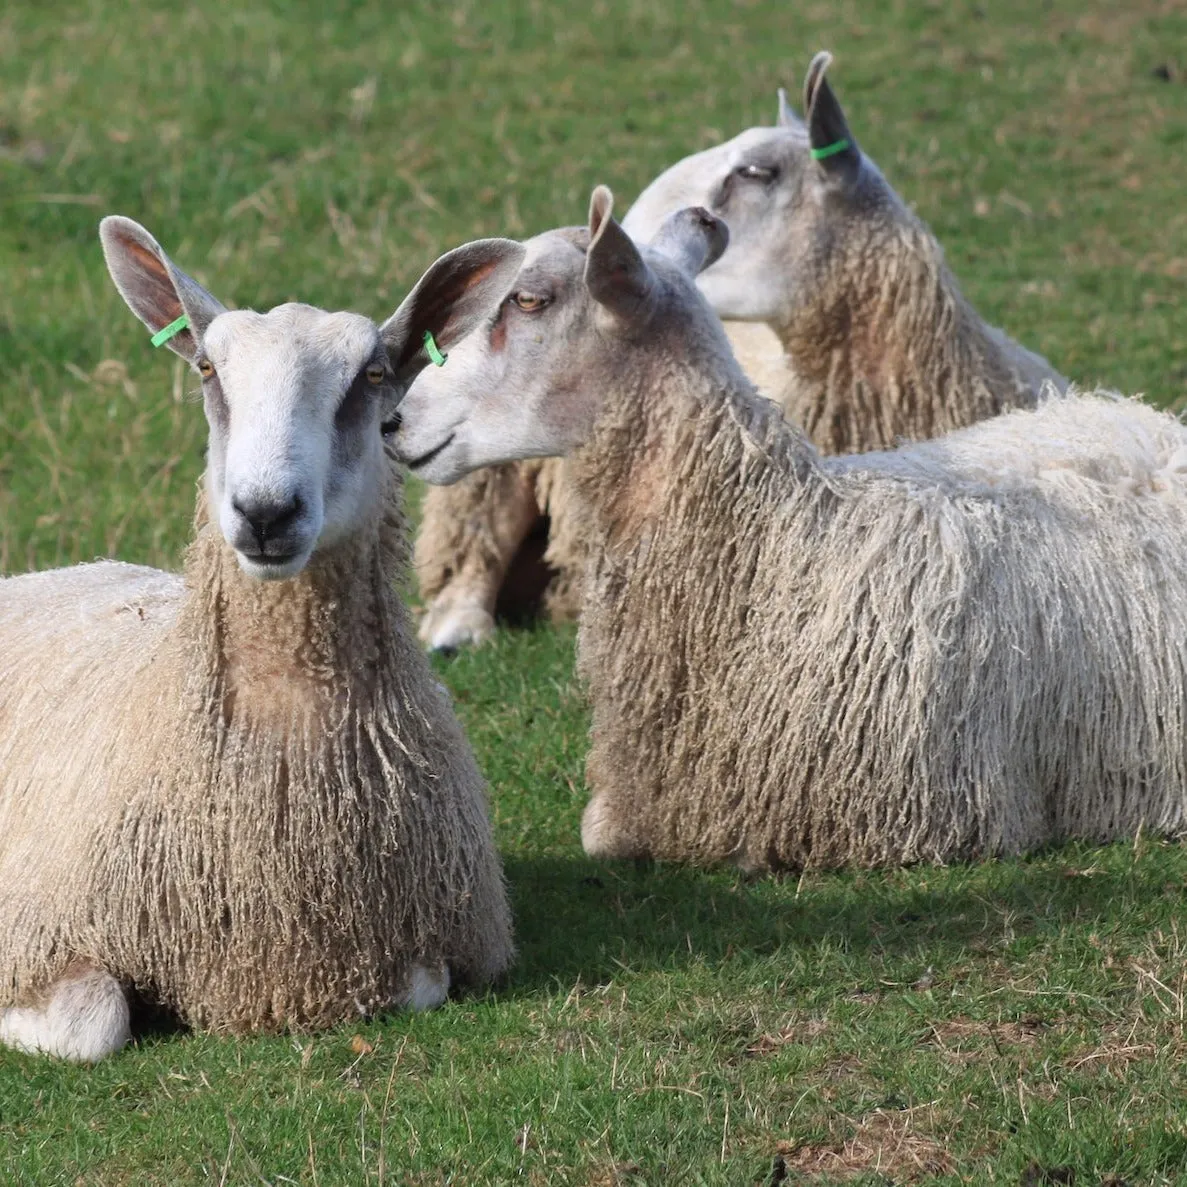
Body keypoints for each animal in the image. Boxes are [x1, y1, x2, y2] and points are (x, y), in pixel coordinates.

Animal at [0, 218, 524, 1063]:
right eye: (208, 368)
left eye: (372, 375)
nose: (266, 511)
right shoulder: (34, 928)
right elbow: (92, 1022)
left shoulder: (413, 945)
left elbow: (421, 984)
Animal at [394, 185, 1187, 873]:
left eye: (530, 299)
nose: (395, 420)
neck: (778, 547)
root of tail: (1148, 420)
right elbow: (601, 839)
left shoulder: (921, 813)